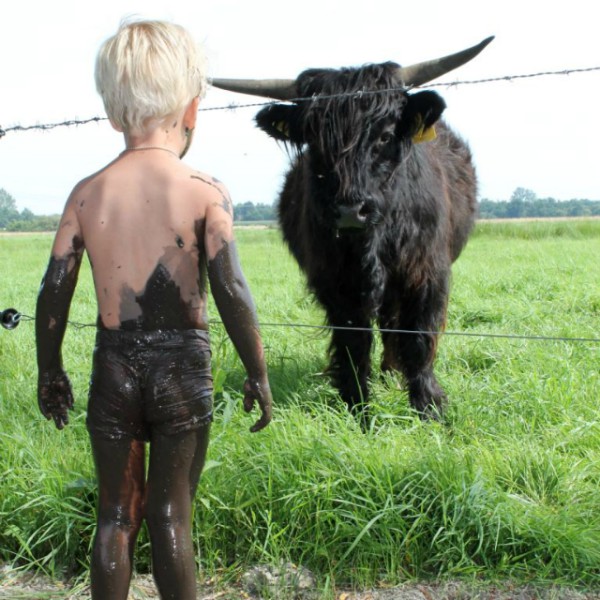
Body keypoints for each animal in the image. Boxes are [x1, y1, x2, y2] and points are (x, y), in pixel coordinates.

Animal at [213, 37, 494, 422]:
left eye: (386, 136)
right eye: (314, 142)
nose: (350, 211)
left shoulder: (427, 272)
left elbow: (418, 337)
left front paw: (429, 408)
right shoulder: (334, 281)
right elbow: (353, 342)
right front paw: (358, 408)